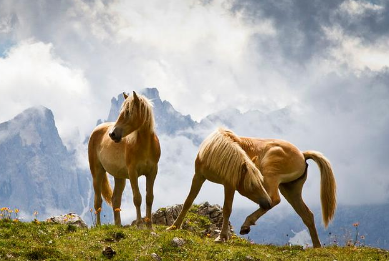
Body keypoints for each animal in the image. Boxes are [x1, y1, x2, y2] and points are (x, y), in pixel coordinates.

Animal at [88, 92, 161, 228]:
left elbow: (149, 198)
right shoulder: (133, 172)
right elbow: (137, 198)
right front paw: (140, 225)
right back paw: (98, 226)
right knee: (98, 201)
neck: (145, 146)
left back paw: (118, 225)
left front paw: (149, 226)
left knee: (115, 199)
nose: (112, 134)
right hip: (97, 172)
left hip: (119, 177)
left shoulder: (152, 172)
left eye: (128, 112)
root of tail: (97, 129)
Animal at [166, 127, 334, 247]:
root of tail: (302, 154)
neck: (215, 151)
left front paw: (222, 237)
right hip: (291, 189)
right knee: (307, 215)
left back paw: (247, 224)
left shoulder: (229, 184)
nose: (266, 203)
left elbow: (227, 209)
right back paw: (317, 247)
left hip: (272, 178)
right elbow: (189, 201)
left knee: (276, 199)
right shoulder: (199, 176)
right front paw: (173, 227)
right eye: (252, 184)